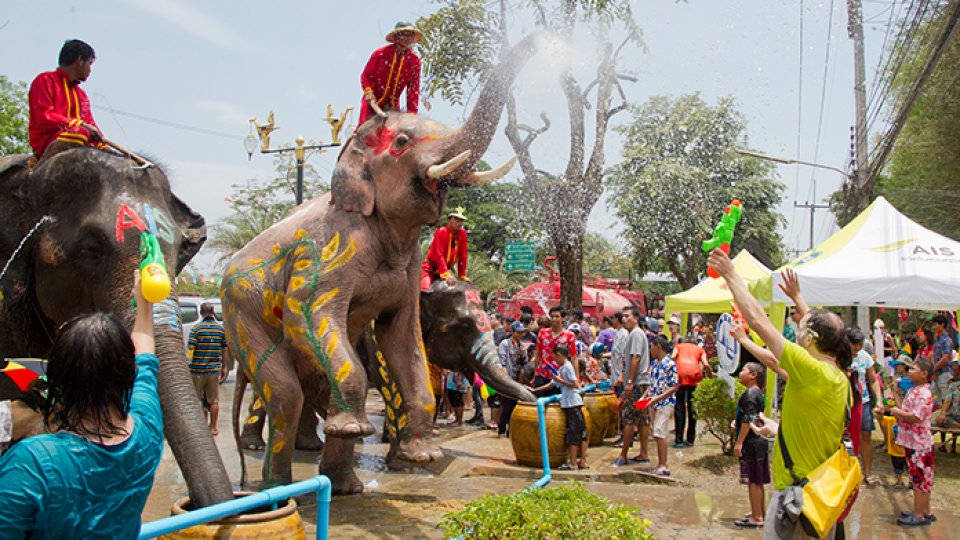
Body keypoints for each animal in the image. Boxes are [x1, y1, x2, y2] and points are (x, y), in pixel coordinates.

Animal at [220, 32, 544, 494]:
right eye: (402, 142)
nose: (540, 39)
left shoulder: (410, 274)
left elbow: (401, 335)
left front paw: (420, 456)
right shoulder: (329, 249)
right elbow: (312, 317)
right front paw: (380, 444)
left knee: (305, 383)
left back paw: (342, 484)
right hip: (241, 314)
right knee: (284, 393)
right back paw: (277, 484)